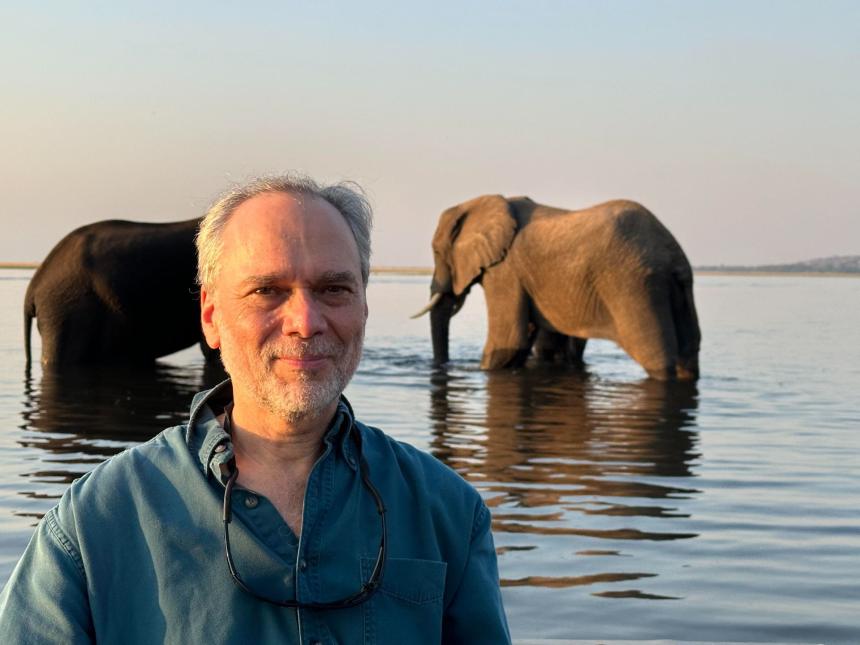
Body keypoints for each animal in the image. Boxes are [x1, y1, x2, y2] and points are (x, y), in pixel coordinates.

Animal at [414, 194, 704, 380]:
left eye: (437, 251)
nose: (441, 366)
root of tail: (672, 255)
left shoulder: (505, 271)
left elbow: (508, 339)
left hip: (635, 287)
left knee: (655, 356)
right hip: (676, 289)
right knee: (688, 355)